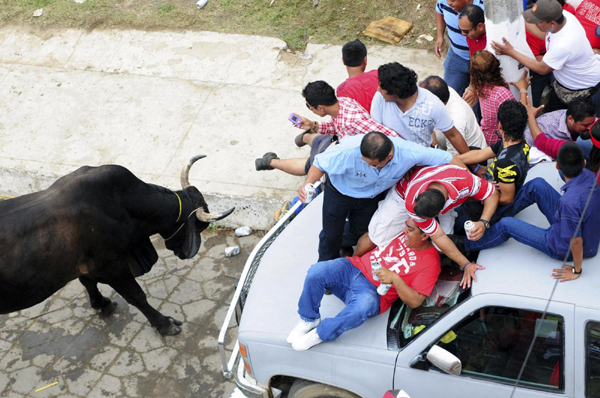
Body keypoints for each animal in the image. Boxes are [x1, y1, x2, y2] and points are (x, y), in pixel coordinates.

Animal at [0, 155, 234, 336]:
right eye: (201, 226)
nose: (181, 253)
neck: (125, 204)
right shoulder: (111, 268)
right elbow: (137, 296)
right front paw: (165, 324)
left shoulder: (85, 265)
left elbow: (87, 282)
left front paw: (101, 303)